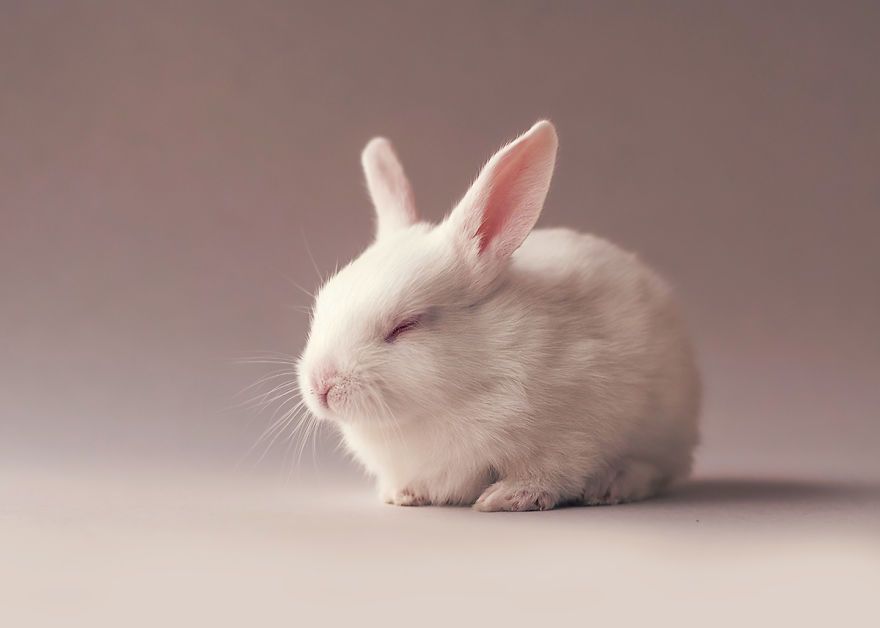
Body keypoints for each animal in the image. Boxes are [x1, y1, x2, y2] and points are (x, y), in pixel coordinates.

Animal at [296, 120, 700, 511]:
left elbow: (548, 473)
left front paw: (506, 498)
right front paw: (402, 495)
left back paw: (611, 486)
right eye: (323, 304)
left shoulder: (570, 436)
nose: (321, 385)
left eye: (405, 325)